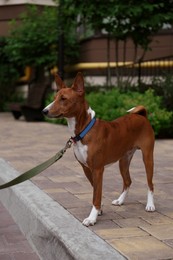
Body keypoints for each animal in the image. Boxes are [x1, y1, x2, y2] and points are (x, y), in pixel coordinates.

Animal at [42, 72, 155, 225]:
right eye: (54, 98)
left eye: (63, 99)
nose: (44, 111)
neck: (83, 131)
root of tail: (141, 116)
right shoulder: (86, 168)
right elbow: (95, 190)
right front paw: (99, 211)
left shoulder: (97, 169)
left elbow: (96, 195)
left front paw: (92, 218)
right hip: (123, 160)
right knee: (128, 181)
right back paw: (120, 200)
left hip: (147, 157)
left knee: (150, 184)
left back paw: (150, 205)